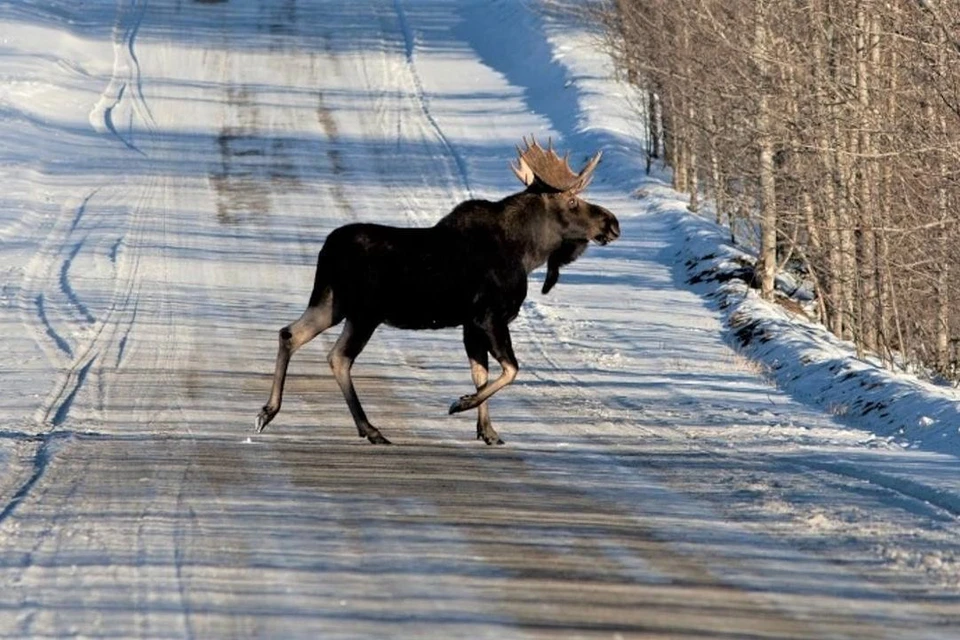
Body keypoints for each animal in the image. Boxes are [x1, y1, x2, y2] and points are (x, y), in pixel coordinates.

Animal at [255, 135, 620, 444]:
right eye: (572, 201)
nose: (613, 223)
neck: (529, 253)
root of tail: (327, 250)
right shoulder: (489, 316)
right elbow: (510, 369)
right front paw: (461, 404)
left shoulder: (470, 324)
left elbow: (481, 373)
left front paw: (488, 431)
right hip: (363, 313)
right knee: (338, 357)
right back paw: (370, 429)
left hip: (331, 302)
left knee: (290, 334)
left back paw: (268, 411)